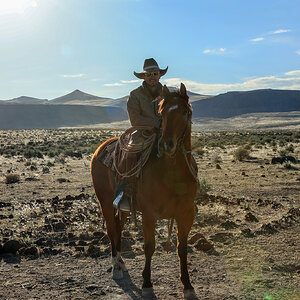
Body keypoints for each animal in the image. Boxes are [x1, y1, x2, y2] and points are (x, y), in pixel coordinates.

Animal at [90, 83, 198, 298]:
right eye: (162, 112)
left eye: (184, 112)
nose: (167, 144)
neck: (172, 173)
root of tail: (101, 148)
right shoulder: (149, 214)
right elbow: (149, 247)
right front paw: (147, 284)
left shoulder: (186, 213)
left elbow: (182, 248)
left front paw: (187, 285)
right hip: (104, 201)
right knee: (111, 228)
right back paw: (116, 267)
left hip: (123, 206)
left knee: (118, 227)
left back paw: (121, 263)